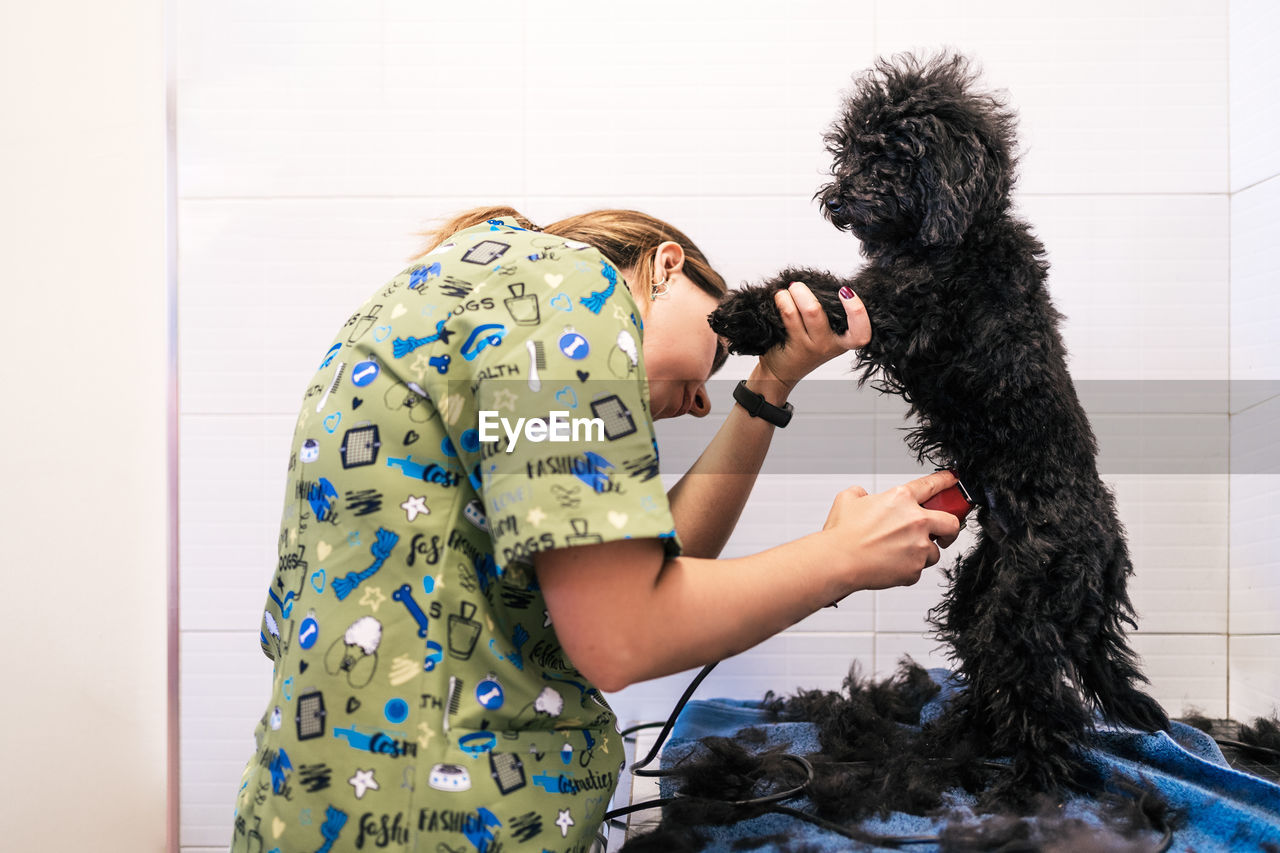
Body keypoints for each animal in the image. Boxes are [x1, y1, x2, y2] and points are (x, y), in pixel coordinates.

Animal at [711, 53, 1172, 799]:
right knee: (993, 683)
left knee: (1042, 711)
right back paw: (953, 743)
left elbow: (811, 283)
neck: (958, 238)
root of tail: (1109, 554)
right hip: (981, 592)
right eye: (850, 150)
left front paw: (742, 313)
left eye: (893, 156)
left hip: (1021, 614)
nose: (835, 199)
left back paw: (1025, 790)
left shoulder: (887, 306)